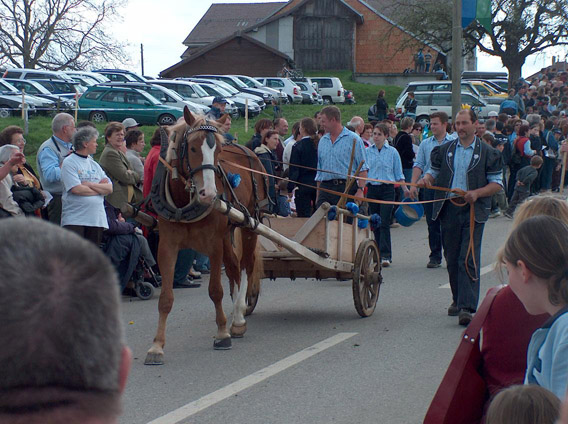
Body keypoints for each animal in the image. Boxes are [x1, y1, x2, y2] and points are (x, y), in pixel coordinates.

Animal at [143, 107, 266, 364]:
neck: (184, 202)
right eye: (191, 148)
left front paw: (222, 334)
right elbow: (166, 298)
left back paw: (239, 318)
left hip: (249, 225)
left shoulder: (213, 244)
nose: (209, 193)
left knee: (246, 265)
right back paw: (236, 315)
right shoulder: (166, 246)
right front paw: (157, 346)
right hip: (229, 231)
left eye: (218, 150)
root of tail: (250, 151)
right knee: (234, 268)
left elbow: (215, 290)